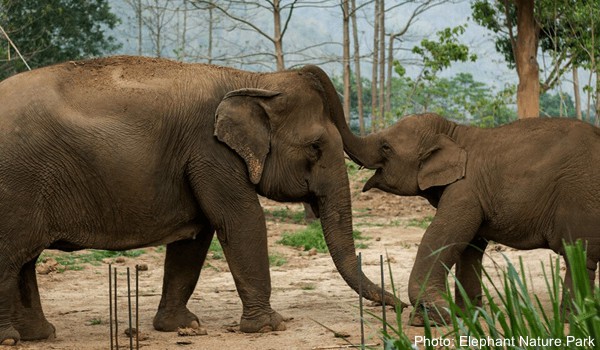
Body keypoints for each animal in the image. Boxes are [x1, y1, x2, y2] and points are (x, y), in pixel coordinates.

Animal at [0, 57, 396, 344]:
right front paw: (271, 326)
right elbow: (242, 219)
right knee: (11, 256)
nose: (398, 305)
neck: (252, 79)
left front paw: (182, 327)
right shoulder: (211, 150)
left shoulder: (198, 158)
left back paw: (39, 335)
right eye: (315, 147)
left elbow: (195, 237)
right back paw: (11, 338)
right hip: (16, 183)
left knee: (24, 260)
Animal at [332, 112, 600, 326]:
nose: (398, 305)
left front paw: (430, 319)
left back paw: (572, 320)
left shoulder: (465, 190)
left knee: (578, 255)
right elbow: (470, 247)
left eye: (386, 147)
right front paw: (468, 316)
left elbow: (440, 237)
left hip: (580, 197)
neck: (454, 132)